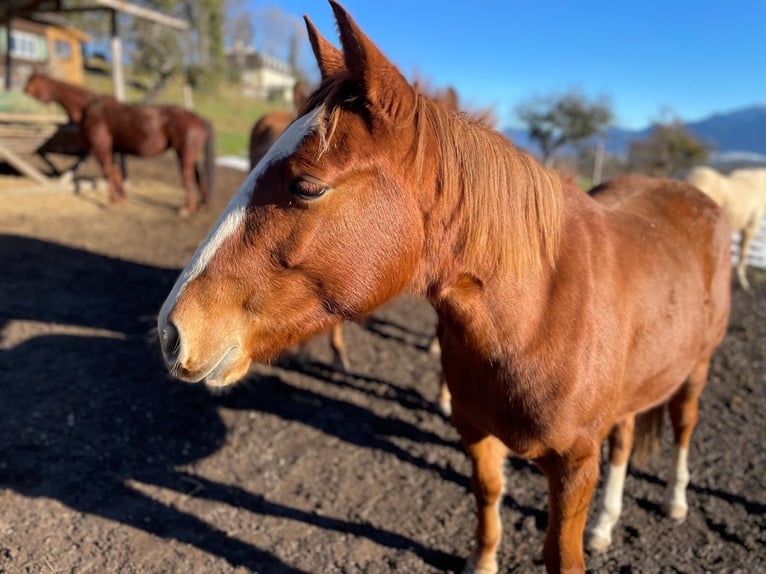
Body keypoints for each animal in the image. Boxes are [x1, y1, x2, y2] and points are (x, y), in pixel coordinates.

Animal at [25, 73, 215, 215]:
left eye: (31, 84)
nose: (23, 93)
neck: (89, 107)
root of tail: (198, 118)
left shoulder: (100, 147)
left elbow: (108, 172)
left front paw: (112, 202)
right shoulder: (112, 149)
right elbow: (115, 171)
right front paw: (122, 198)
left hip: (184, 153)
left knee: (188, 176)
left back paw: (187, 208)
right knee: (199, 176)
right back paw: (203, 205)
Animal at [157, 3, 732, 573]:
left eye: (307, 187)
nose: (172, 331)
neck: (538, 317)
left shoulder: (574, 466)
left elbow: (560, 553)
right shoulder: (477, 433)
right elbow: (489, 494)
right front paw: (485, 560)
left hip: (697, 369)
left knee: (683, 425)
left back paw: (674, 500)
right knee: (627, 438)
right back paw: (607, 524)